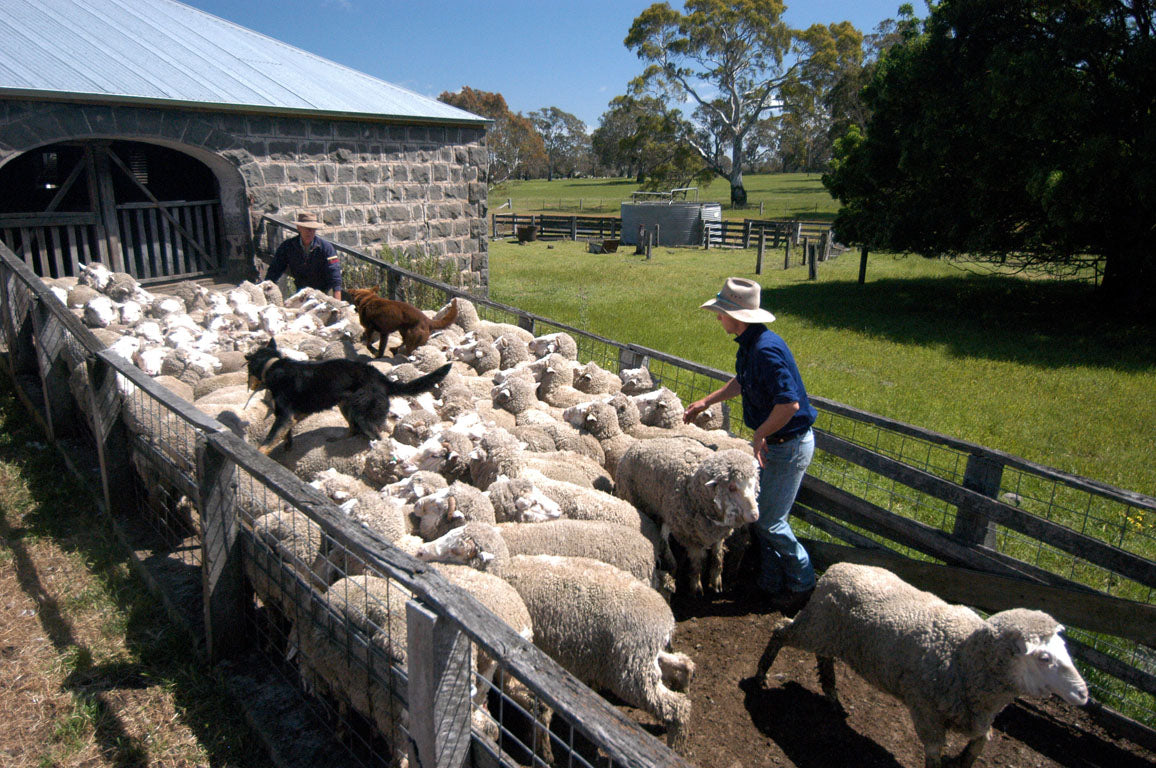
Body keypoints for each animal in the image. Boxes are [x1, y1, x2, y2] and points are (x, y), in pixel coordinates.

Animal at [245, 340, 450, 453]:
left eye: (247, 371)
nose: (248, 385)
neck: (272, 366)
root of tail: (382, 379)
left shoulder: (284, 416)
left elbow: (268, 440)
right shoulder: (288, 417)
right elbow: (284, 434)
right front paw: (287, 446)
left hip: (364, 414)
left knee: (377, 436)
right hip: (346, 405)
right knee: (352, 429)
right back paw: (339, 440)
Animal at [416, 522, 693, 749]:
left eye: (456, 550)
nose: (420, 551)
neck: (505, 570)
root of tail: (664, 619)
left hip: (629, 673)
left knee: (677, 707)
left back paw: (676, 744)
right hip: (643, 659)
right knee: (684, 664)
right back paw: (685, 684)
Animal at [614, 437, 758, 592]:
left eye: (754, 484)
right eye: (732, 487)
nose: (754, 515)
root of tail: (638, 443)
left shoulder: (718, 534)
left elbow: (717, 557)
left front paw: (716, 581)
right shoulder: (690, 538)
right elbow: (697, 564)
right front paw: (696, 588)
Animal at [753, 557, 1086, 768]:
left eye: (1064, 650)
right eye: (1044, 657)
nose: (1083, 693)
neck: (964, 654)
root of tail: (839, 567)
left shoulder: (973, 716)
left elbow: (981, 742)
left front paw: (961, 761)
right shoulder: (926, 710)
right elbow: (933, 756)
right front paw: (948, 762)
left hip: (829, 633)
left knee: (824, 657)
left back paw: (832, 696)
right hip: (816, 626)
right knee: (781, 630)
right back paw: (762, 673)